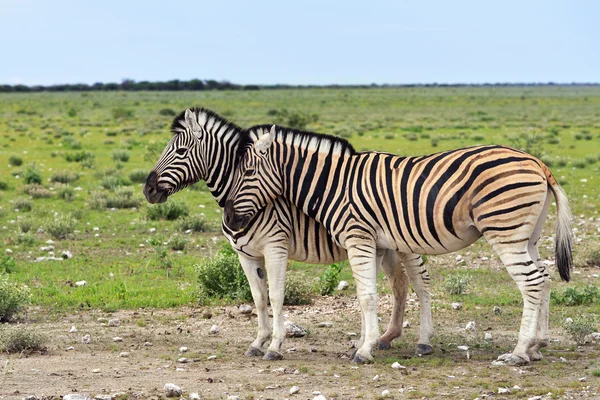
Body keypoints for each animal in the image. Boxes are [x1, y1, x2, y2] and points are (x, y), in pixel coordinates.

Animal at [142, 108, 436, 360]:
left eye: (180, 151)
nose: (148, 189)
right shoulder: (245, 255)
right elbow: (259, 298)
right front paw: (257, 342)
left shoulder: (275, 247)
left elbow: (276, 296)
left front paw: (275, 345)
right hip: (384, 246)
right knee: (399, 284)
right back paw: (385, 338)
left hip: (405, 242)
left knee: (420, 282)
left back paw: (423, 342)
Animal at [224, 125, 572, 366]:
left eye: (249, 171)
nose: (228, 217)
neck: (334, 185)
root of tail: (537, 162)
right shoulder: (375, 244)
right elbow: (371, 294)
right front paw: (368, 342)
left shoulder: (358, 238)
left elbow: (366, 296)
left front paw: (364, 350)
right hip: (528, 236)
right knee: (544, 277)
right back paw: (537, 346)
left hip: (505, 231)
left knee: (531, 282)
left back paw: (519, 352)